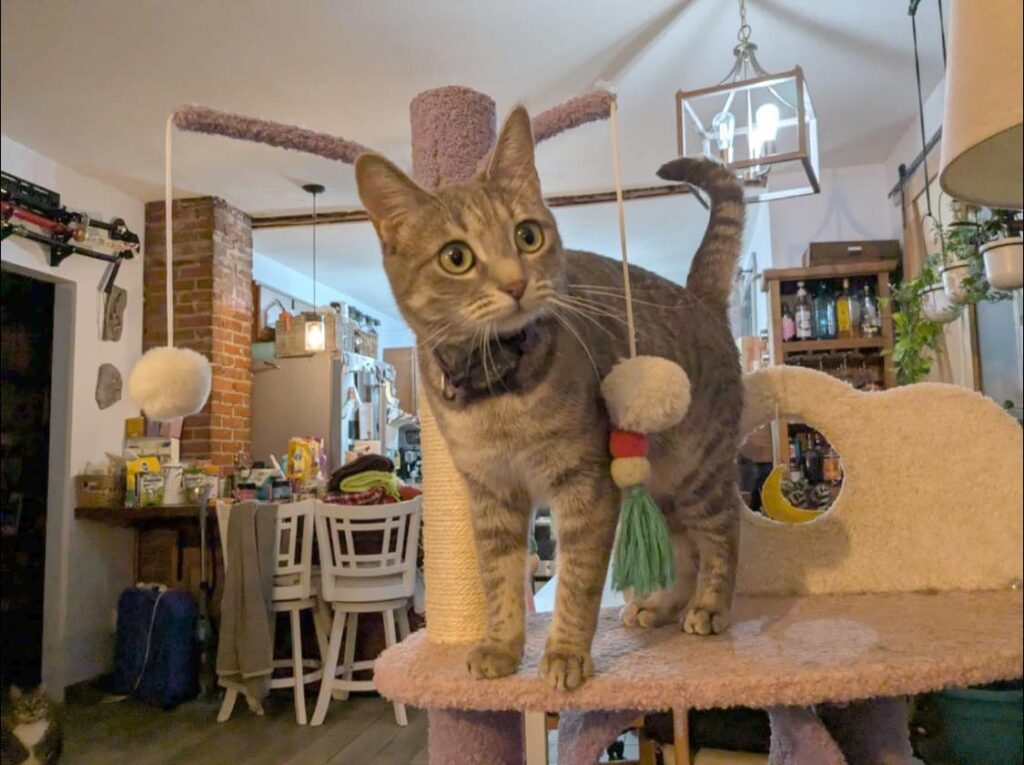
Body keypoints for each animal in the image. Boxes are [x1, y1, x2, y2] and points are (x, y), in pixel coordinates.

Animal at [355, 106, 744, 691]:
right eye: (455, 256)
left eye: (527, 234)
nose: (516, 283)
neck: (496, 393)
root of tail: (697, 296)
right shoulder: (490, 496)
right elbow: (499, 582)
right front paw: (501, 646)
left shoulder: (584, 487)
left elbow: (576, 583)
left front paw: (564, 653)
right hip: (665, 483)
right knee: (683, 548)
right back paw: (659, 605)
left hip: (698, 471)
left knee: (721, 535)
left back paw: (709, 606)